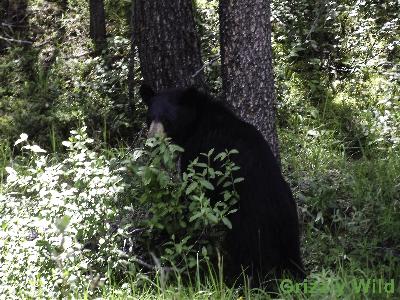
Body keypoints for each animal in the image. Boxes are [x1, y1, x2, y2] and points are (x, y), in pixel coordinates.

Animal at [140, 84, 304, 286]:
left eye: (167, 120)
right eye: (149, 117)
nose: (151, 143)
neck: (196, 121)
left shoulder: (199, 152)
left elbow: (194, 187)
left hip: (249, 227)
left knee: (251, 260)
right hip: (291, 231)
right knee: (293, 260)